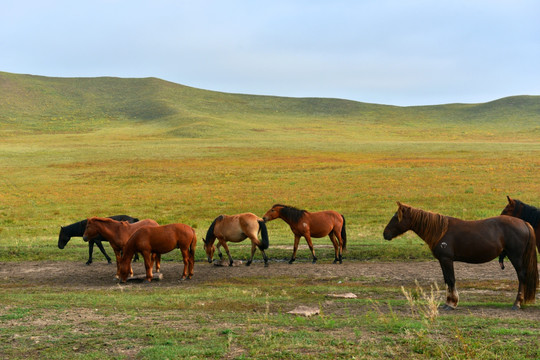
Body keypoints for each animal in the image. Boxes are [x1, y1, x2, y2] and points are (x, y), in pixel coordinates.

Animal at [382, 202, 536, 310]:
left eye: (396, 217)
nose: (385, 234)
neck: (440, 231)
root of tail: (524, 223)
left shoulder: (446, 260)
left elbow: (451, 279)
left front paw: (451, 303)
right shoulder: (443, 261)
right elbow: (447, 280)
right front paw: (449, 302)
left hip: (515, 257)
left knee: (522, 276)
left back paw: (517, 303)